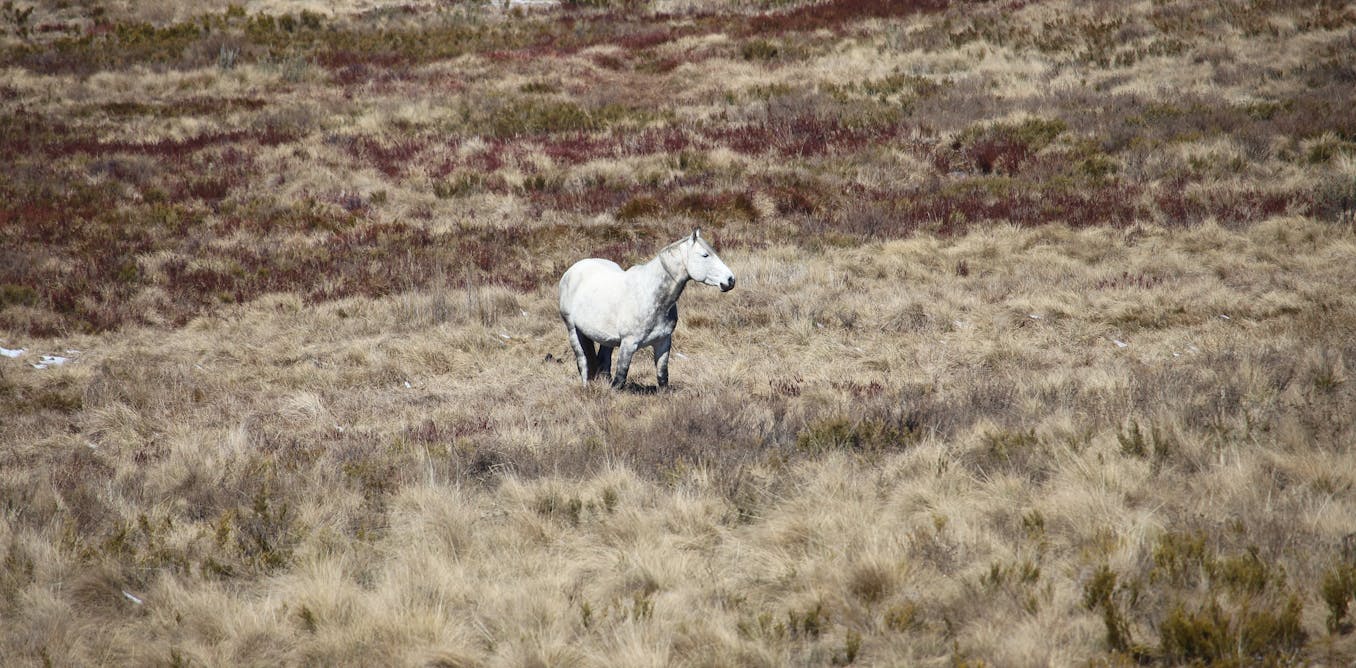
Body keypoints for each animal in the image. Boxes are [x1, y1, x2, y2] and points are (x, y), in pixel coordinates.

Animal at [558, 229, 735, 389]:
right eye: (705, 255)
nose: (730, 280)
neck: (650, 296)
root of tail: (573, 269)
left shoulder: (663, 342)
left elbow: (662, 376)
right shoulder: (628, 344)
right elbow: (620, 378)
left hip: (606, 338)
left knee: (603, 360)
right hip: (573, 330)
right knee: (583, 362)